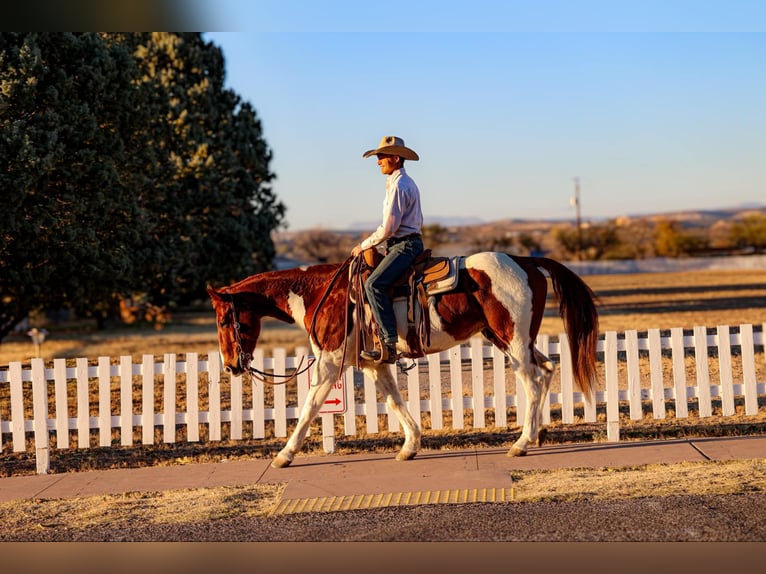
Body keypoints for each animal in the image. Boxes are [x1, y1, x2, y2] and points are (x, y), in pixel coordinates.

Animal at [207, 251, 599, 469]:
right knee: (546, 369)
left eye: (225, 320)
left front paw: (284, 455)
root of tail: (525, 261)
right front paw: (411, 446)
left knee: (531, 379)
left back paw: (521, 443)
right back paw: (536, 434)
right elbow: (395, 400)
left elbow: (308, 408)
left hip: (513, 340)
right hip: (508, 339)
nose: (230, 365)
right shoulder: (374, 363)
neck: (322, 293)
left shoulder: (329, 363)